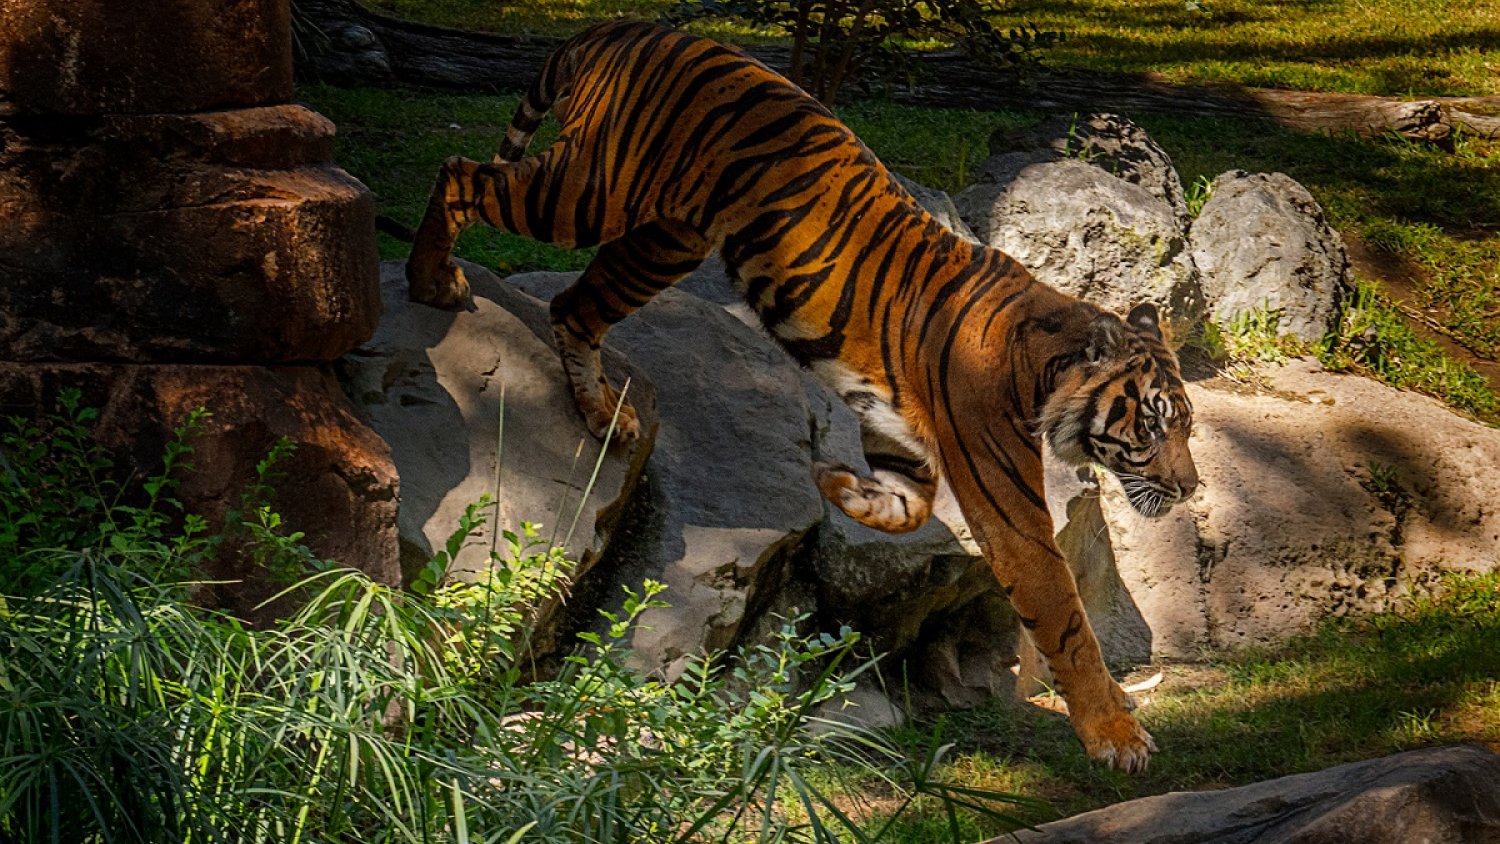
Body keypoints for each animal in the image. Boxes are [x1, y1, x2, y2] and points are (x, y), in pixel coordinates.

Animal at [405, 20, 1198, 772]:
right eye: (1155, 424)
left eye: (1188, 428)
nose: (1190, 487)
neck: (1041, 363)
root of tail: (628, 28)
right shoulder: (1008, 506)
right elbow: (1065, 616)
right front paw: (1116, 735)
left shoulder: (902, 435)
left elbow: (908, 508)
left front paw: (839, 489)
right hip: (589, 192)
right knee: (462, 174)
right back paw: (431, 279)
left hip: (667, 238)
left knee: (574, 305)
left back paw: (607, 414)